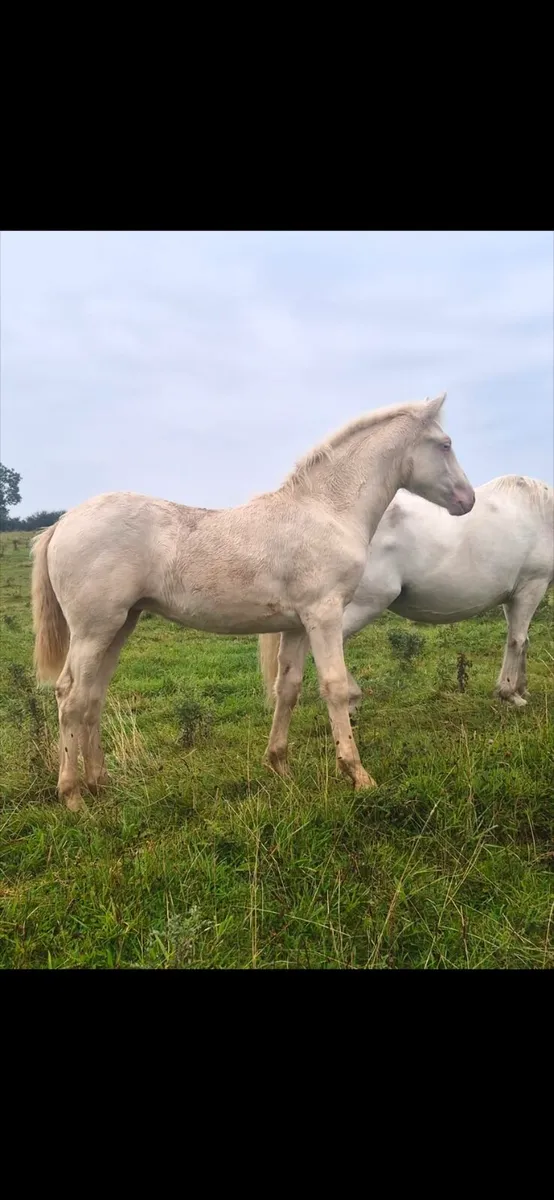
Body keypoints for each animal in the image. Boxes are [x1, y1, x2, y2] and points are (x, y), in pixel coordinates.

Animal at [31, 393, 474, 810]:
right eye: (445, 444)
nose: (467, 500)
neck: (327, 510)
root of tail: (62, 523)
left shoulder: (297, 624)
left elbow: (288, 688)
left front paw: (279, 766)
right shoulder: (325, 614)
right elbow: (334, 686)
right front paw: (358, 775)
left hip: (122, 624)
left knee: (92, 696)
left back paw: (100, 784)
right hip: (93, 629)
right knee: (70, 698)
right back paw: (72, 796)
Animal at [259, 475, 553, 713]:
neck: (542, 512)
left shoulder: (512, 596)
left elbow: (522, 641)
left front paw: (521, 688)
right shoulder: (531, 587)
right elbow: (517, 640)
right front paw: (510, 694)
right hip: (360, 605)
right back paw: (353, 698)